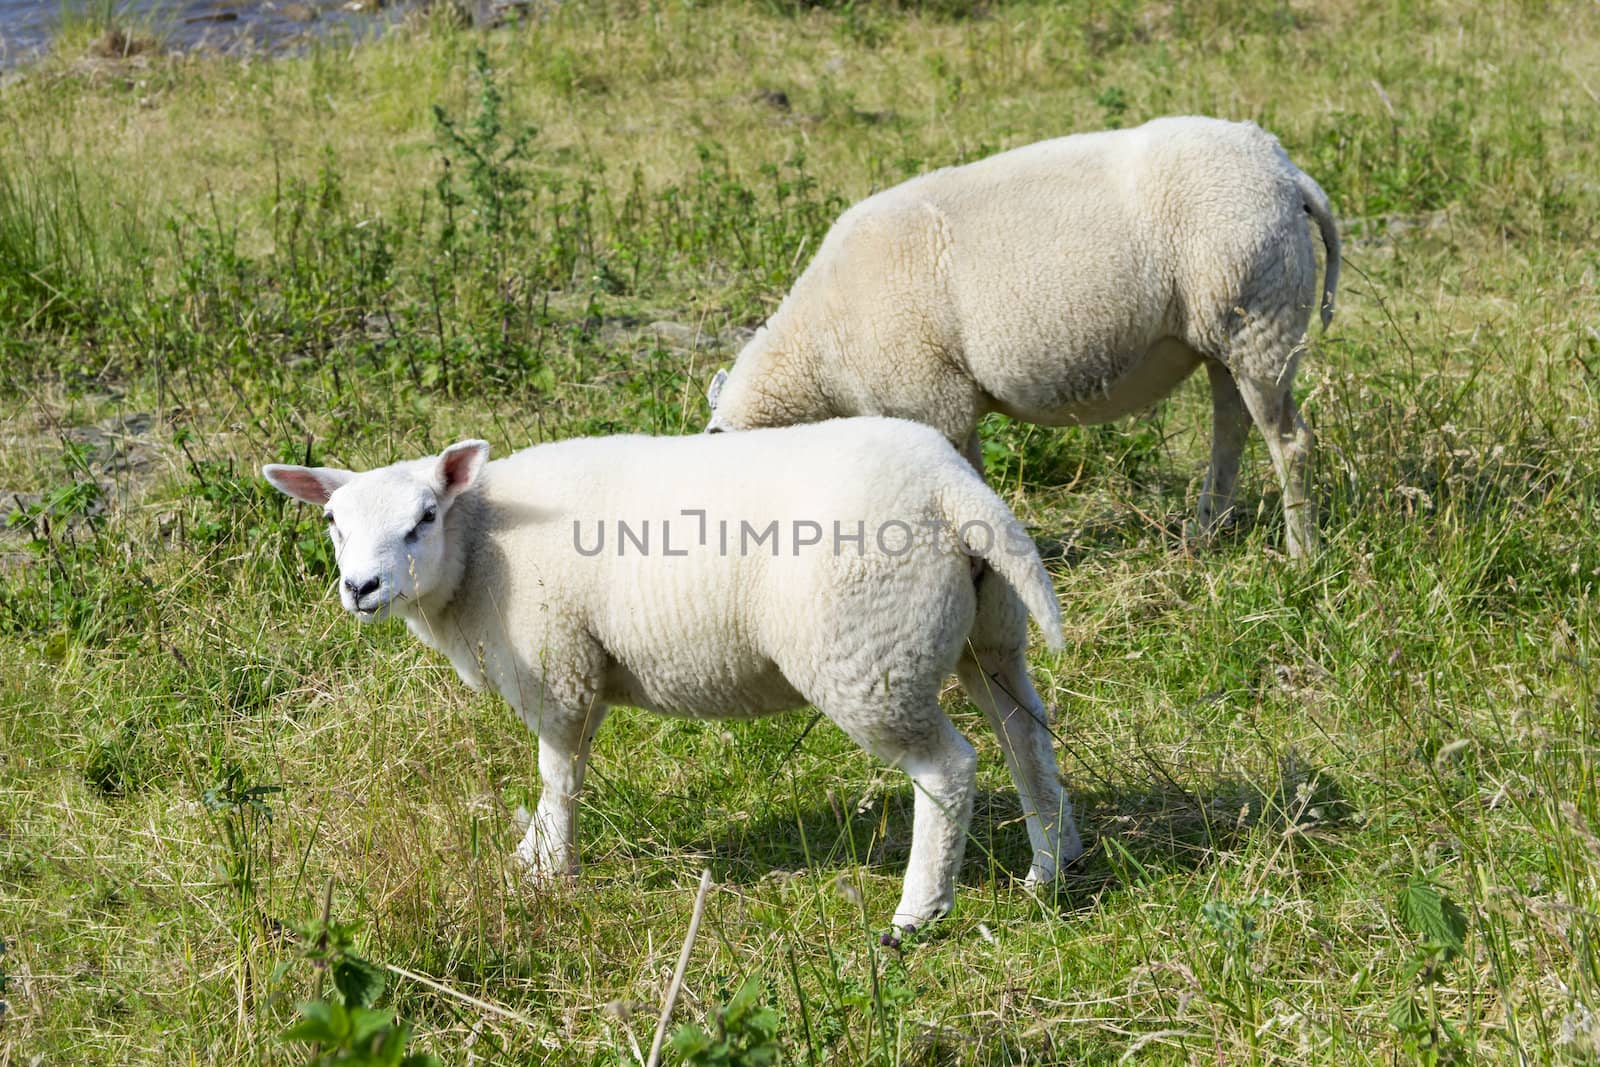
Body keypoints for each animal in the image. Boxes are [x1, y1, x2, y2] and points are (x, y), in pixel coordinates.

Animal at [268, 419, 1081, 934]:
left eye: (424, 518)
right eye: (333, 522)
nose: (361, 588)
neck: (479, 549)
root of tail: (949, 486)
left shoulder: (559, 665)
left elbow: (559, 773)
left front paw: (550, 872)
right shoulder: (585, 667)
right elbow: (560, 775)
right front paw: (531, 852)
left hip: (871, 652)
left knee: (948, 768)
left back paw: (918, 912)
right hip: (988, 635)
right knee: (1027, 738)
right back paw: (1051, 866)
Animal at [707, 115, 1344, 559]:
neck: (818, 355)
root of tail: (1284, 171)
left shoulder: (933, 401)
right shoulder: (946, 406)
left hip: (1260, 317)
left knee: (1290, 442)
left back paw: (1301, 554)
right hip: (1226, 329)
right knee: (1231, 429)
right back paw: (1205, 532)